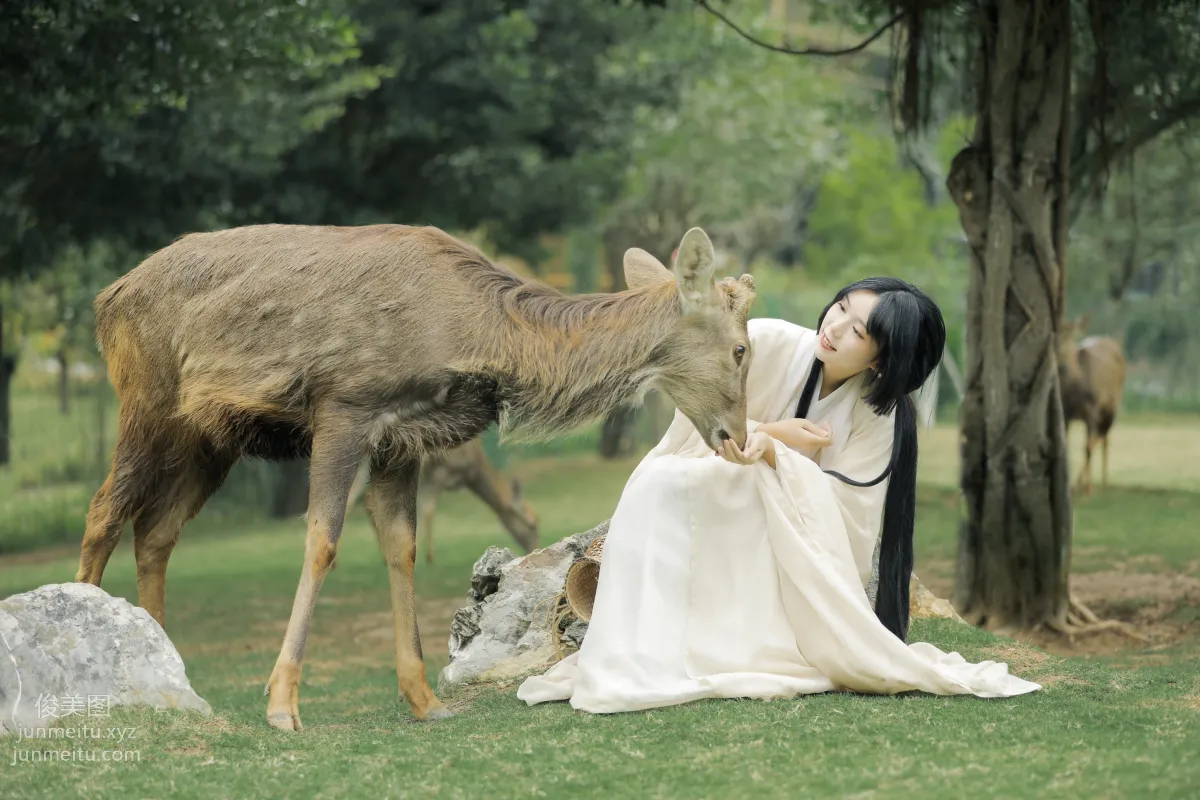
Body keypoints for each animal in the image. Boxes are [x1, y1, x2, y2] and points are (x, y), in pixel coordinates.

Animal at [1058, 316, 1127, 494]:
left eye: (1073, 336)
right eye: (1054, 335)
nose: (1063, 365)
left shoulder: (1092, 409)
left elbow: (1087, 447)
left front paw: (1089, 489)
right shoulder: (1066, 413)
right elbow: (1067, 448)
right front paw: (1069, 485)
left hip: (1111, 405)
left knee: (1103, 437)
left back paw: (1104, 480)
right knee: (1098, 436)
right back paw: (1079, 482)